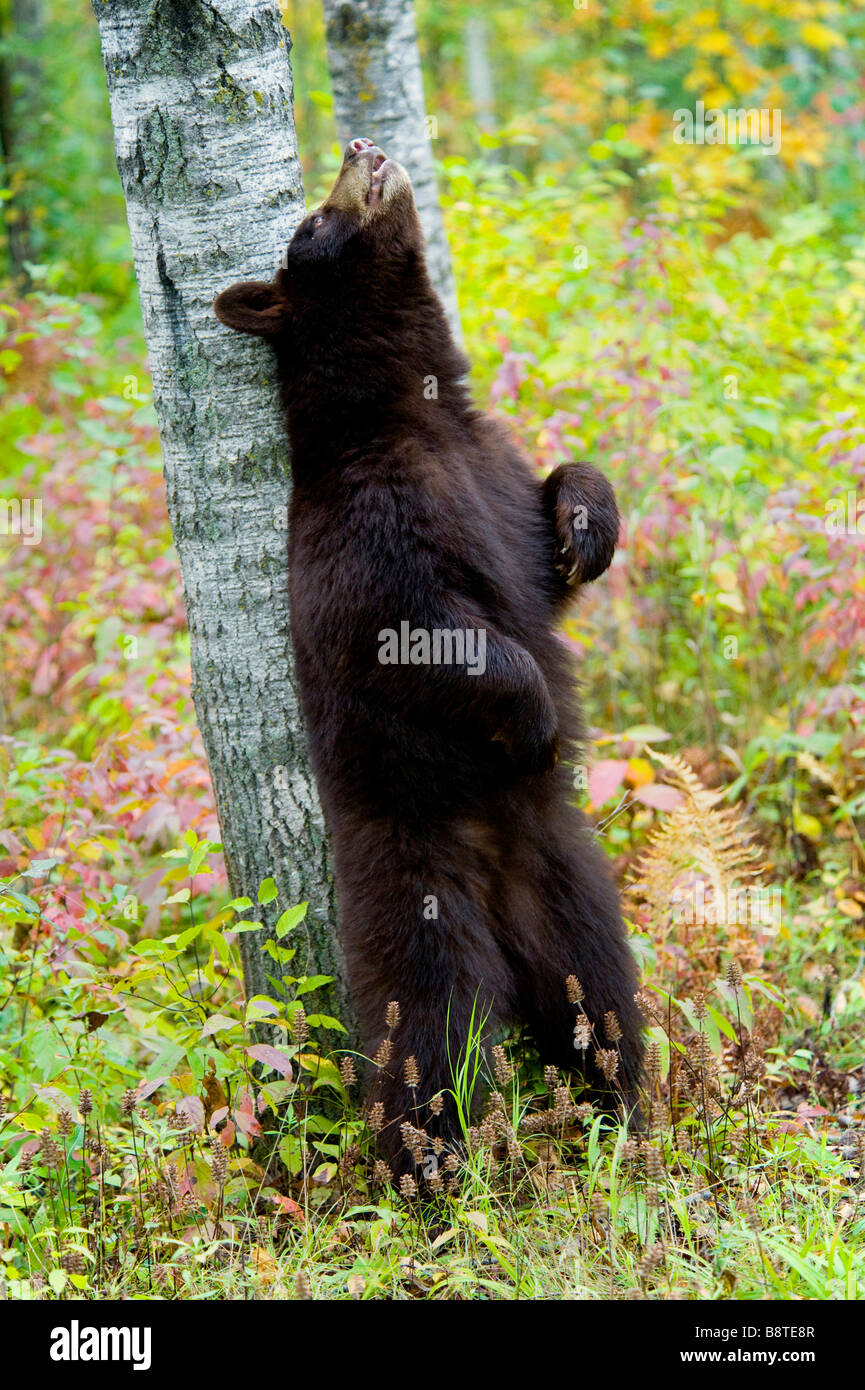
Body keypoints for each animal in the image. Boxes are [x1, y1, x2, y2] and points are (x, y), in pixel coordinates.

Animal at [215, 137, 644, 1181]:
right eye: (309, 222)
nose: (361, 146)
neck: (412, 406)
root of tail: (494, 885)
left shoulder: (490, 471)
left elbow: (547, 548)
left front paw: (586, 524)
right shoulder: (368, 523)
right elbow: (420, 635)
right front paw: (532, 718)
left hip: (569, 887)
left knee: (599, 995)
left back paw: (621, 1106)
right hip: (413, 881)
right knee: (429, 1031)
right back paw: (427, 1167)